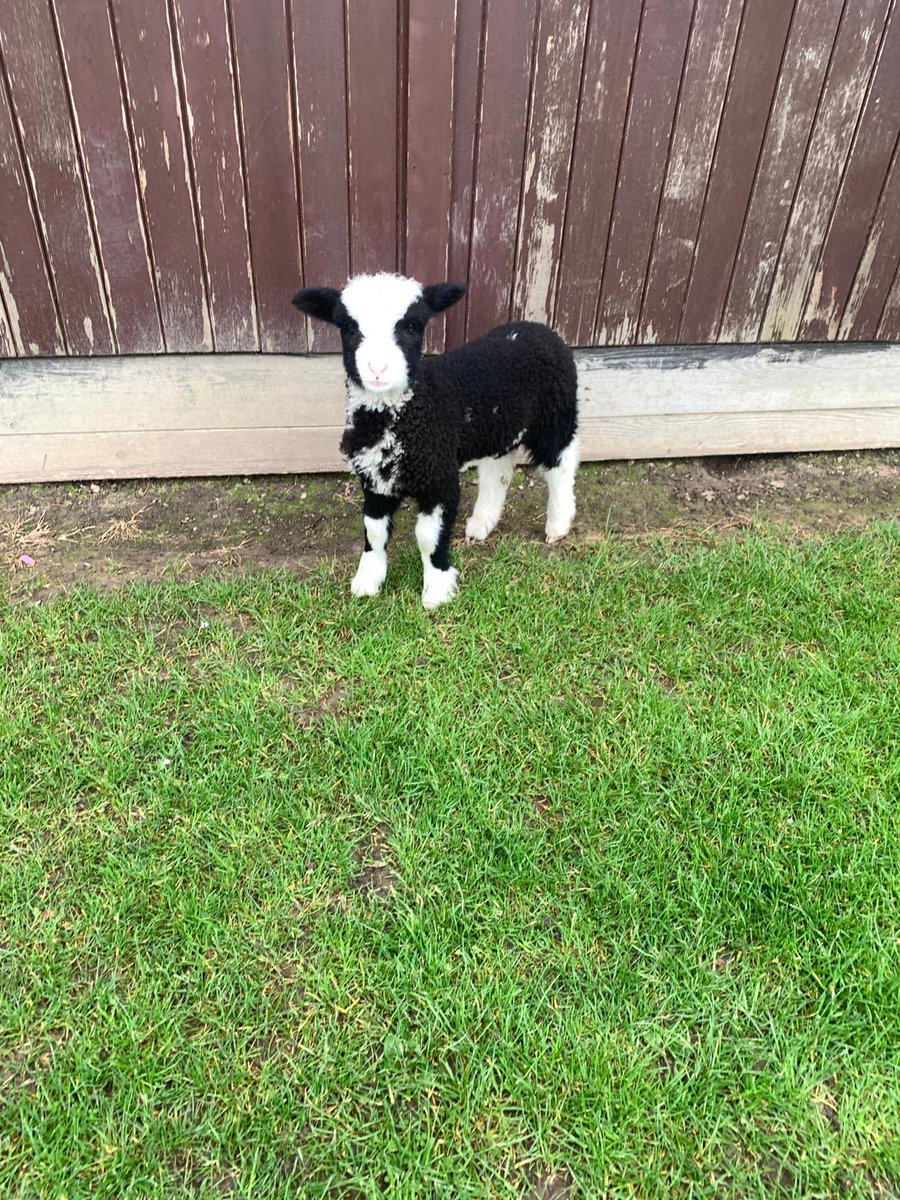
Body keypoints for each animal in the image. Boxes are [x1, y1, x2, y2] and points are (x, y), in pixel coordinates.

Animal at [292, 273, 579, 608]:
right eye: (348, 328)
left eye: (412, 326)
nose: (377, 368)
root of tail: (540, 328)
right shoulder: (376, 479)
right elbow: (373, 531)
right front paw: (367, 581)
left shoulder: (439, 478)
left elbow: (428, 536)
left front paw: (437, 590)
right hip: (499, 426)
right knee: (498, 471)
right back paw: (482, 523)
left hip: (555, 414)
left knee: (560, 465)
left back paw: (558, 523)